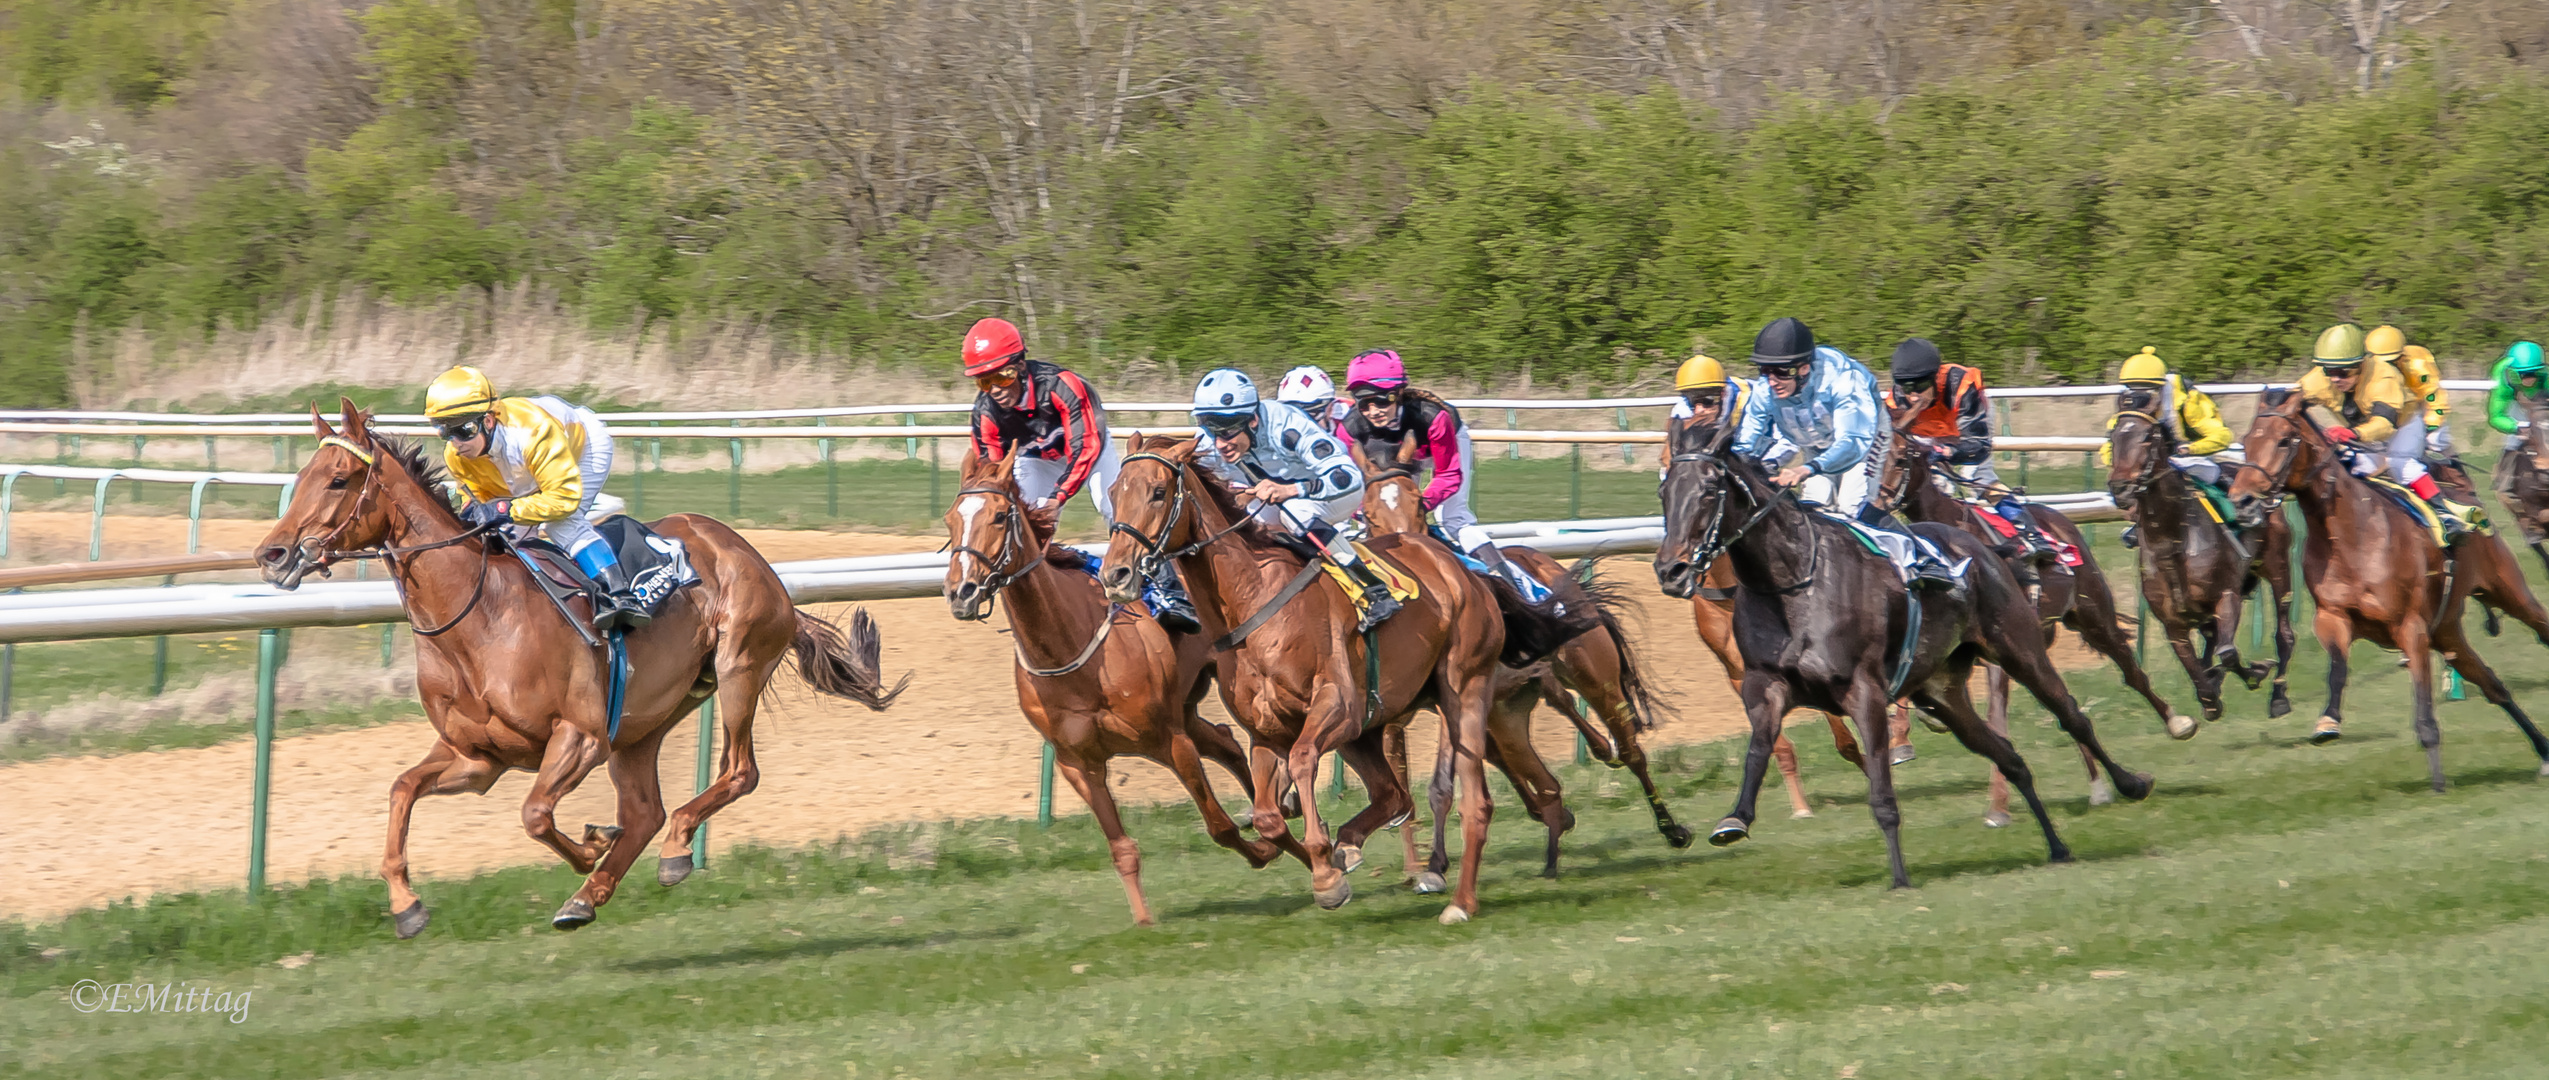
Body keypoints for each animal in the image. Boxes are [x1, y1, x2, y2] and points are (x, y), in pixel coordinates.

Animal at [263, 402, 902, 937]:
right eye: (300, 479)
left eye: (338, 479)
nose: (272, 554)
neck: (479, 617)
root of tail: (753, 557)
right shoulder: (478, 758)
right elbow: (402, 790)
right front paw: (406, 906)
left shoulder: (581, 735)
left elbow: (535, 814)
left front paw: (592, 844)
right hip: (643, 723)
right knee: (645, 812)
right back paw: (591, 894)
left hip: (737, 666)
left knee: (738, 772)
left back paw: (672, 851)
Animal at [943, 448, 1284, 927]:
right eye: (949, 521)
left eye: (997, 517)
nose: (962, 592)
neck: (1070, 647)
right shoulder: (1078, 764)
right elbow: (1121, 848)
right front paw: (1143, 920)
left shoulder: (1170, 742)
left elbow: (1219, 826)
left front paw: (1278, 849)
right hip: (1185, 706)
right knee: (1225, 740)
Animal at [1090, 435, 1509, 922]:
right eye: (1114, 491)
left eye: (1158, 492)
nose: (1115, 574)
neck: (1253, 601)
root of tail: (1461, 569)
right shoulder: (1266, 731)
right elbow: (1268, 816)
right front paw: (1326, 856)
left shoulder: (1337, 706)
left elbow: (1304, 759)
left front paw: (1326, 875)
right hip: (1369, 728)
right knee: (1394, 794)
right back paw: (1353, 845)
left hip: (1463, 690)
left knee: (1473, 802)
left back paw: (1460, 902)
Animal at [1651, 422, 2151, 886]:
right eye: (1664, 490)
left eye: (1709, 490)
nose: (1670, 569)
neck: (1793, 582)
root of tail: (1985, 549)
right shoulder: (1764, 684)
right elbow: (1759, 748)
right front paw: (1734, 820)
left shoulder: (1864, 691)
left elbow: (1882, 791)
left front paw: (1899, 877)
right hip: (1944, 693)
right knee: (2009, 757)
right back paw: (2056, 845)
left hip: (2022, 649)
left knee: (2073, 715)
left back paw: (2130, 782)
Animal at [2232, 387, 2549, 784]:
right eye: (2246, 441)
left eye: (2284, 440)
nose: (2242, 501)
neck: (2351, 533)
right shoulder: (2333, 616)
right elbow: (2337, 668)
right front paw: (2327, 721)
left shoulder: (2411, 627)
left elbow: (2424, 709)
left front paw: (2438, 782)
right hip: (2447, 632)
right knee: (2495, 686)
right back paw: (2543, 752)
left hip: (2506, 591)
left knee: (2539, 626)